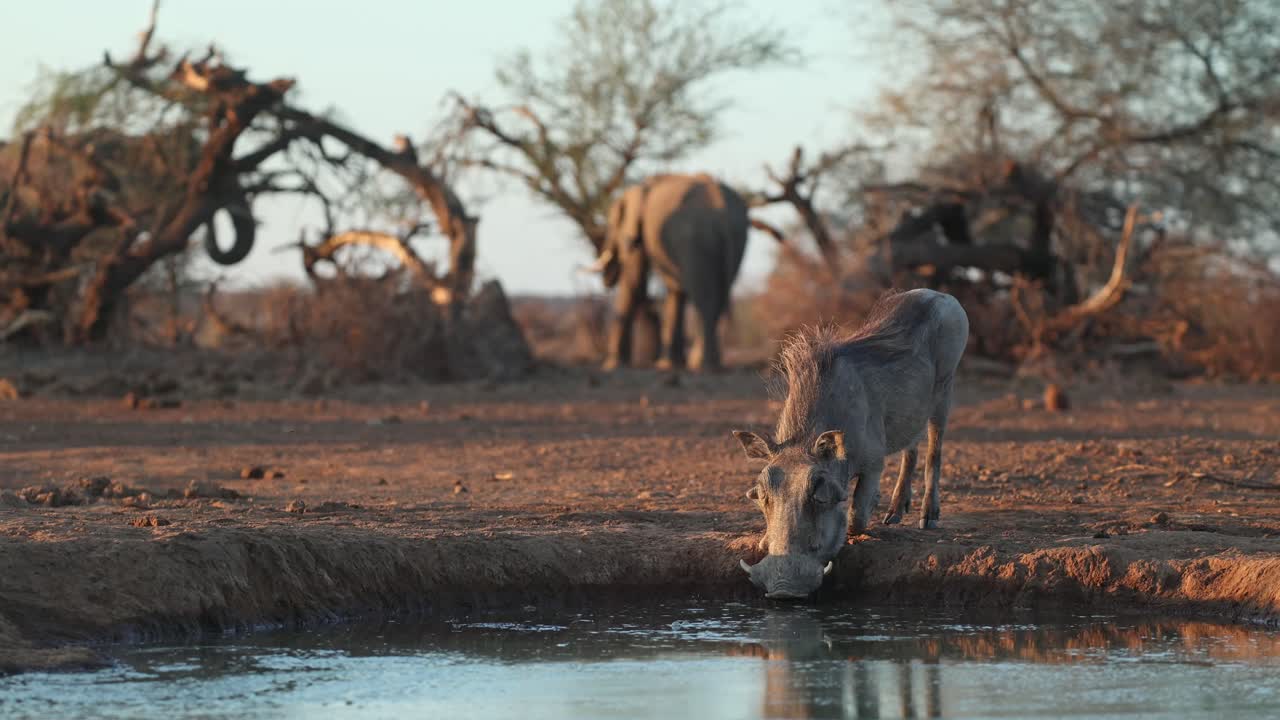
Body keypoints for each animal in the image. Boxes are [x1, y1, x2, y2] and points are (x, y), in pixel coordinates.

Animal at [587, 173, 749, 372]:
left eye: (612, 225)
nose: (607, 282)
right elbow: (675, 291)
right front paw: (668, 364)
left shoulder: (639, 230)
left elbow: (634, 281)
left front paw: (613, 365)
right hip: (737, 238)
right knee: (718, 296)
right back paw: (702, 364)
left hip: (697, 238)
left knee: (705, 299)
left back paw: (704, 366)